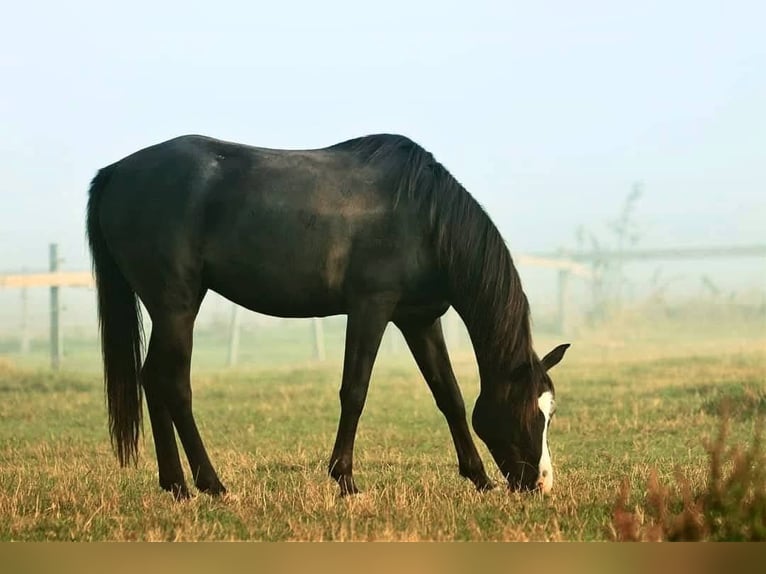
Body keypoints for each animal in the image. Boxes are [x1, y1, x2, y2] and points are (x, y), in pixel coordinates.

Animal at [86, 133, 569, 499]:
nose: (541, 485)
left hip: (168, 310)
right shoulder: (371, 308)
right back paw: (211, 484)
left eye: (550, 412)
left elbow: (448, 395)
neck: (424, 217)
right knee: (173, 384)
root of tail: (116, 172)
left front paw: (479, 478)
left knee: (152, 379)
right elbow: (354, 392)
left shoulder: (418, 319)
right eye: (531, 413)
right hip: (177, 306)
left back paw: (176, 486)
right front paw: (345, 479)